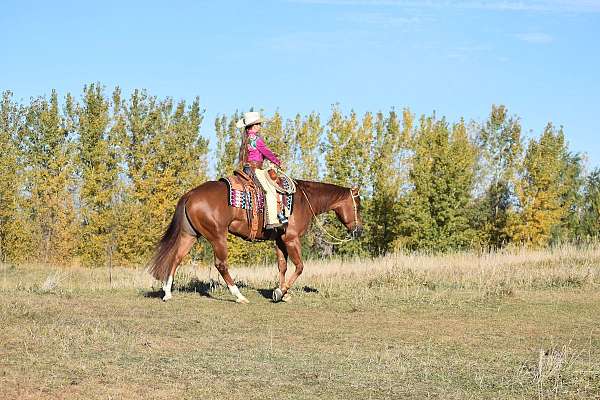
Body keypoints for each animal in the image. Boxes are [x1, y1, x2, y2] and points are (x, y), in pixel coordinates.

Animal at [148, 179, 364, 304]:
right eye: (358, 205)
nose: (359, 230)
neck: (304, 199)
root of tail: (190, 194)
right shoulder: (291, 238)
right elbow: (300, 267)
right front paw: (280, 292)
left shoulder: (280, 240)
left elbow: (282, 266)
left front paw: (283, 293)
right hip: (217, 236)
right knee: (221, 264)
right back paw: (239, 296)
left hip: (190, 235)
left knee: (176, 258)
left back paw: (167, 293)